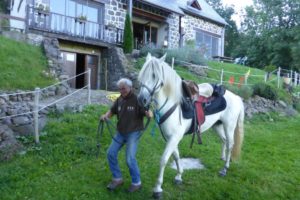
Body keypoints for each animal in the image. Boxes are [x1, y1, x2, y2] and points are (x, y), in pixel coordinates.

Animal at [137, 53, 245, 198]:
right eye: (142, 73)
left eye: (154, 75)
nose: (141, 99)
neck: (172, 103)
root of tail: (237, 97)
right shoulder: (170, 138)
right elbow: (176, 156)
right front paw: (179, 176)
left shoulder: (174, 137)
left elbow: (164, 159)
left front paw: (158, 189)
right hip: (217, 126)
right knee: (224, 141)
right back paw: (222, 158)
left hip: (229, 126)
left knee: (230, 144)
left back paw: (224, 169)